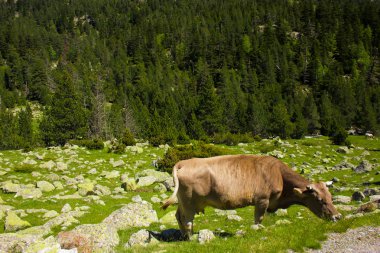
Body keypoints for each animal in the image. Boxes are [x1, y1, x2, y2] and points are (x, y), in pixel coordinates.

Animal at [161, 154, 342, 239]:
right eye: (320, 200)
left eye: (331, 197)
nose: (338, 216)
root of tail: (184, 162)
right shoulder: (262, 200)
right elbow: (258, 220)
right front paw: (257, 231)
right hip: (189, 202)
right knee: (187, 219)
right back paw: (190, 237)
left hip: (182, 201)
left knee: (178, 216)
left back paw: (185, 236)